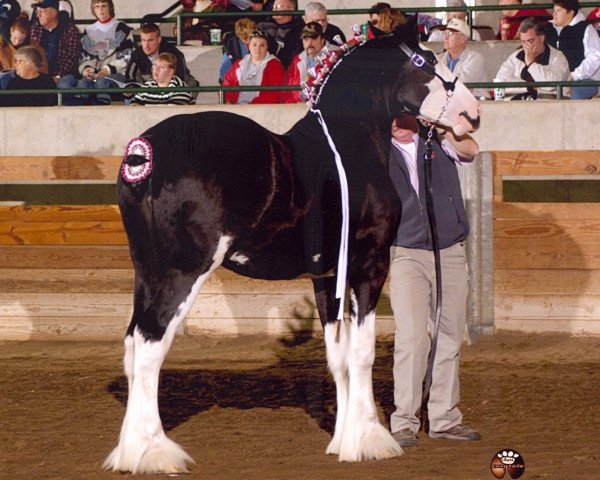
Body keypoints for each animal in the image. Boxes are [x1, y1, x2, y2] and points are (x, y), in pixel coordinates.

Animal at [103, 16, 478, 474]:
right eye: (428, 61)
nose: (471, 114)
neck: (347, 147)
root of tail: (143, 155)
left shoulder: (327, 274)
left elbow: (337, 355)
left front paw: (343, 440)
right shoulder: (368, 265)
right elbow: (363, 352)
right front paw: (372, 440)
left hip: (147, 270)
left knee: (132, 344)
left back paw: (129, 451)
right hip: (182, 272)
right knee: (151, 345)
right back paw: (156, 453)